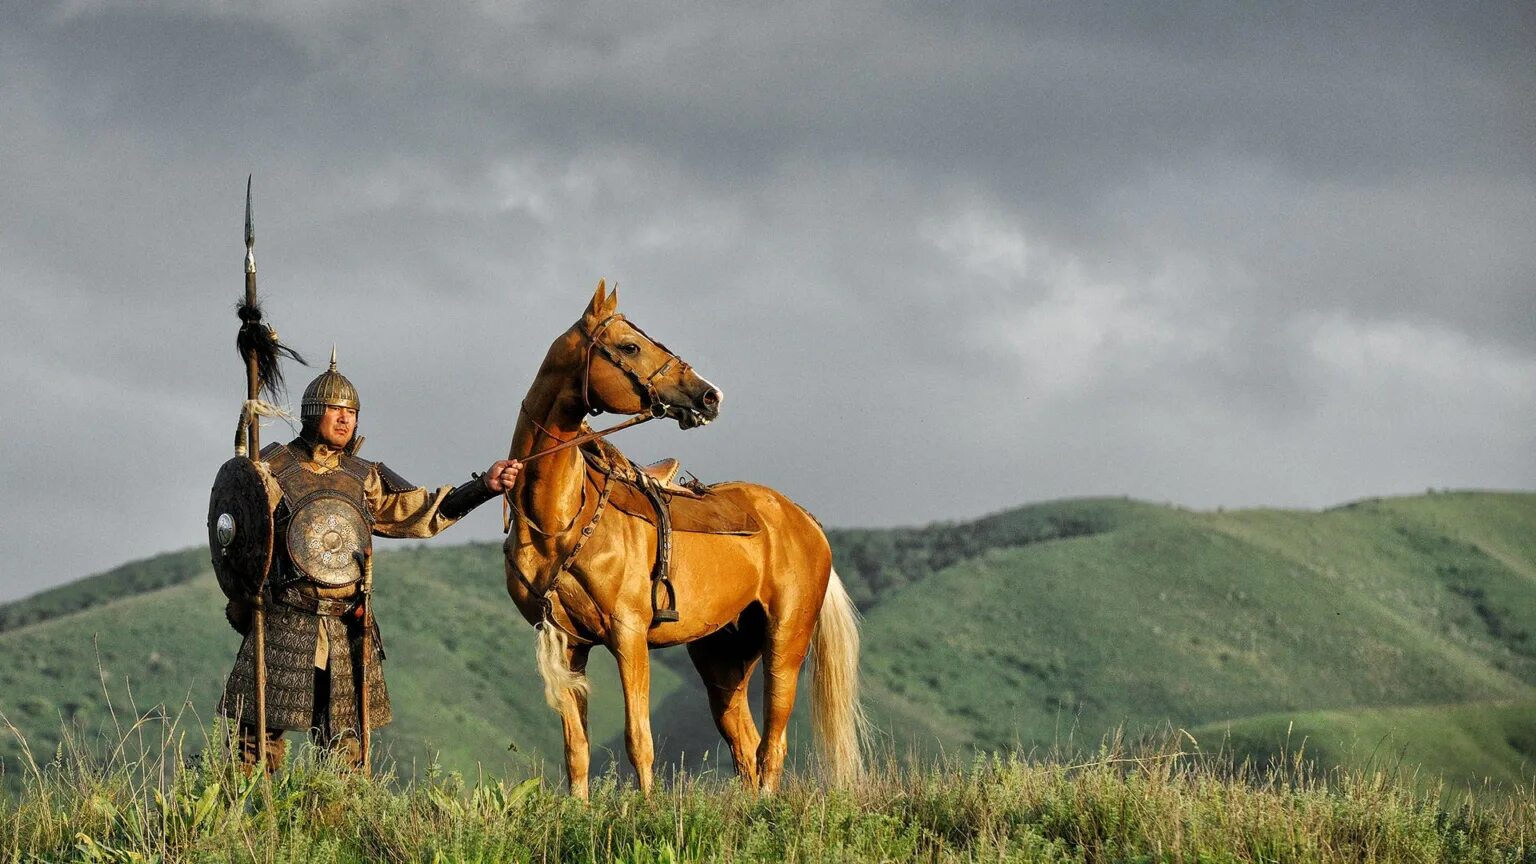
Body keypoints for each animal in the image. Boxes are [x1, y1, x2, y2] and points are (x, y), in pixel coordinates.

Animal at [503, 281, 866, 793]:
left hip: (785, 643)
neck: (558, 519)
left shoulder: (629, 635)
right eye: (630, 347)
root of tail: (805, 519)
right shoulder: (570, 644)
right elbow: (577, 750)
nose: (710, 396)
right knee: (746, 746)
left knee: (772, 745)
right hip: (722, 659)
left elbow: (639, 740)